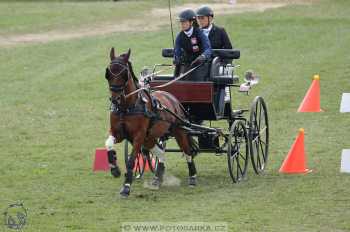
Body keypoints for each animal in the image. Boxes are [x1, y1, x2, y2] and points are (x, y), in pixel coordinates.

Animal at [103, 47, 197, 198]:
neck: (127, 107)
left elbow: (131, 161)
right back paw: (158, 178)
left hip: (179, 132)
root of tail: (172, 99)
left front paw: (126, 187)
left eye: (124, 74)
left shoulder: (138, 136)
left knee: (187, 151)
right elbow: (108, 144)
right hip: (150, 138)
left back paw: (192, 177)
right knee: (161, 152)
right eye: (108, 73)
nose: (115, 99)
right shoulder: (118, 133)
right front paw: (114, 169)